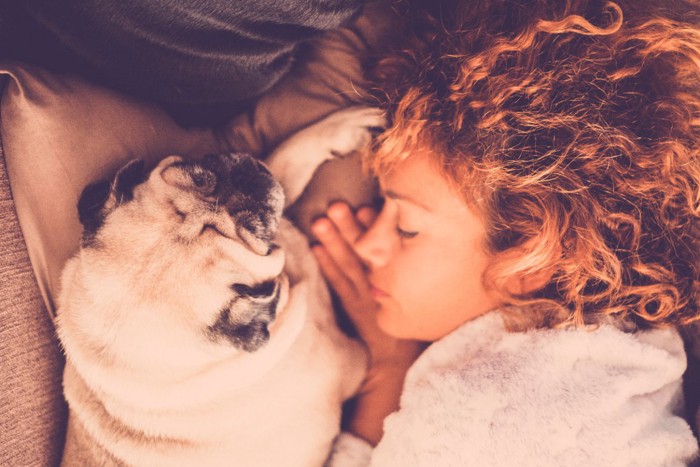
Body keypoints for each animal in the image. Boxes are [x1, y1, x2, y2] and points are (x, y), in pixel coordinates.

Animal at [56, 107, 382, 467]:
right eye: (249, 229)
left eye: (200, 175)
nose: (240, 185)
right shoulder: (348, 361)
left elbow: (283, 160)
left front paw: (339, 129)